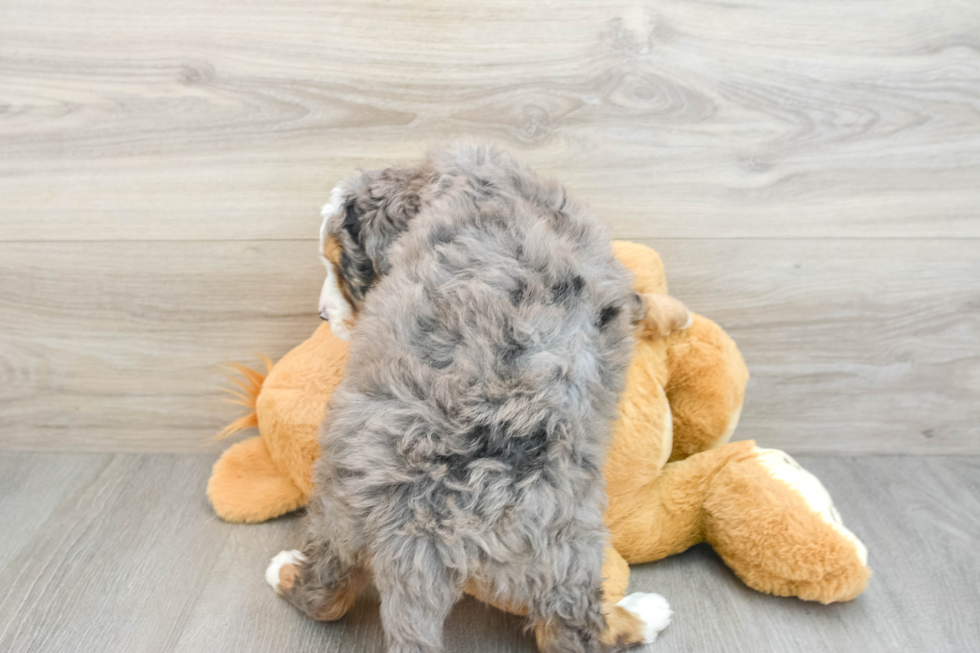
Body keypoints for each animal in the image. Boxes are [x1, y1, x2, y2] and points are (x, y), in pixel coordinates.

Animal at [268, 144, 680, 652]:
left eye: (338, 264)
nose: (322, 315)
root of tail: (415, 532)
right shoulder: (612, 279)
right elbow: (642, 298)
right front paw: (675, 314)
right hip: (566, 543)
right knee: (570, 629)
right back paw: (643, 613)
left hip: (335, 515)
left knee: (326, 597)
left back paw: (284, 571)